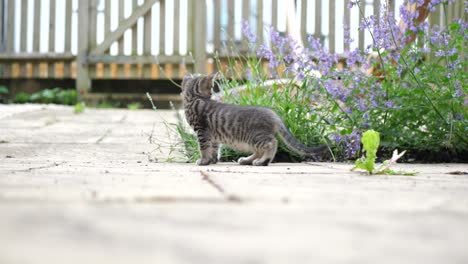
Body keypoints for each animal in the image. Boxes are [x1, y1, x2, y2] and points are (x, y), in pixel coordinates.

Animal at [181, 73, 328, 166]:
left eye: (212, 86)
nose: (212, 92)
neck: (194, 99)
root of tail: (273, 114)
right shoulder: (213, 136)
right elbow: (214, 149)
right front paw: (212, 160)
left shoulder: (202, 131)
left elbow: (204, 148)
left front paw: (203, 161)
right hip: (252, 139)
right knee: (259, 150)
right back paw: (247, 160)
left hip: (254, 136)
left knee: (272, 143)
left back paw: (263, 161)